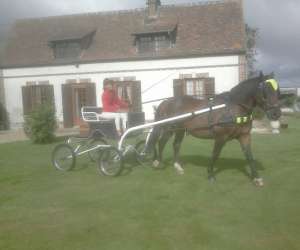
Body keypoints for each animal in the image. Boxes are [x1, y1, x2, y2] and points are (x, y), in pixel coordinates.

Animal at [145, 72, 282, 186]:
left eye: (278, 91)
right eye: (264, 90)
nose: (276, 114)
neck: (232, 108)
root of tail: (166, 102)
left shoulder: (244, 136)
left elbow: (249, 155)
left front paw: (256, 178)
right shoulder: (221, 137)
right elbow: (215, 154)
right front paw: (210, 174)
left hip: (180, 130)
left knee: (176, 144)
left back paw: (177, 167)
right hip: (169, 128)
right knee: (161, 142)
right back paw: (157, 162)